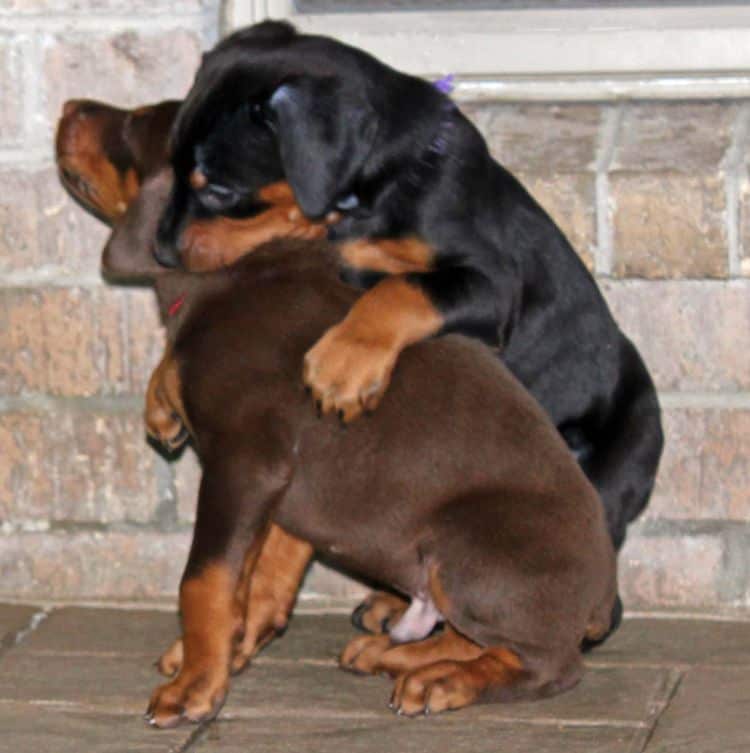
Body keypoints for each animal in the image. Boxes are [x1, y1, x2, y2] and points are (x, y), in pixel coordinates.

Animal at [106, 169, 620, 724]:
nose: (69, 134)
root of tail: (604, 594)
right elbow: (253, 577)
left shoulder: (247, 464)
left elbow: (206, 579)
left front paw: (195, 685)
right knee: (478, 641)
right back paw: (394, 657)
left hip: (466, 544)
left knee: (549, 665)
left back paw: (442, 682)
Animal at [157, 22, 664, 564]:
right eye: (173, 167)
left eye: (220, 191)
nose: (161, 251)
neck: (380, 186)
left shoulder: (492, 283)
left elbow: (402, 288)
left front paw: (343, 365)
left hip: (614, 469)